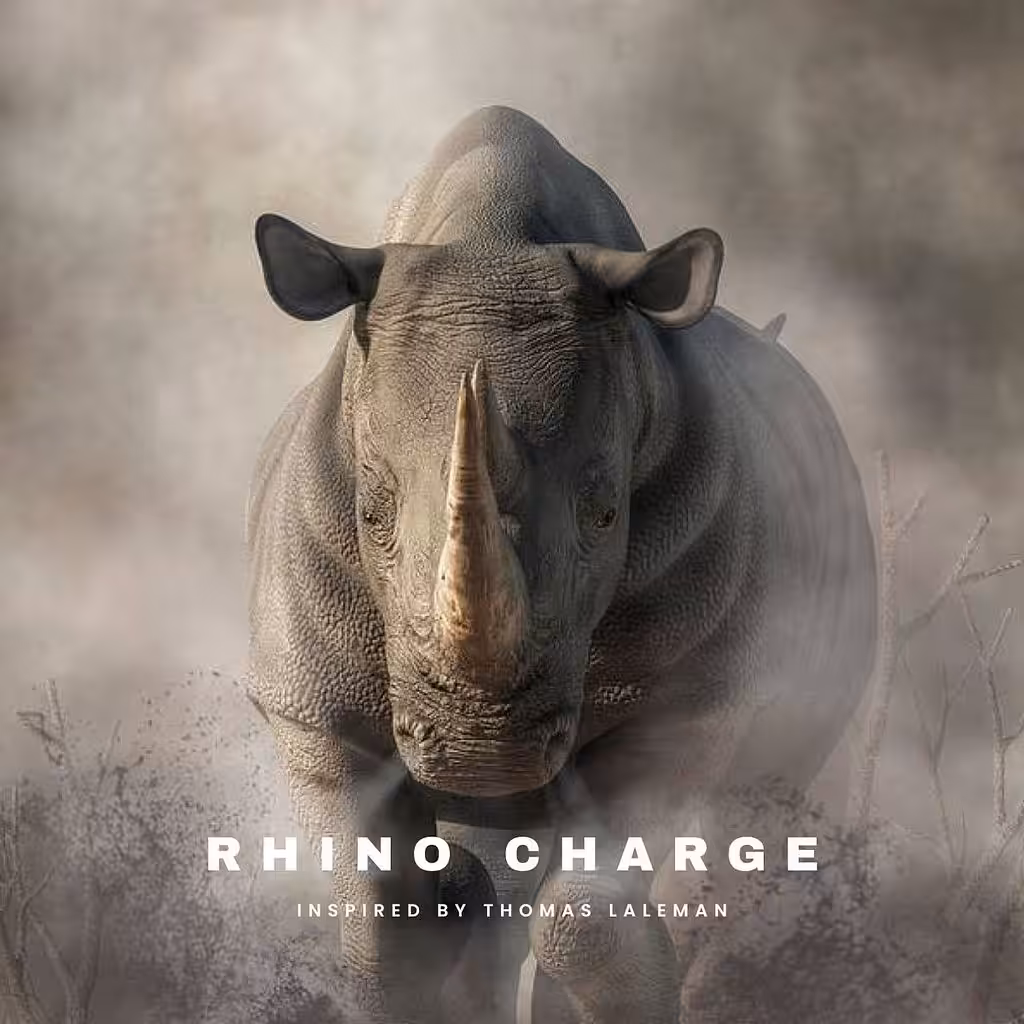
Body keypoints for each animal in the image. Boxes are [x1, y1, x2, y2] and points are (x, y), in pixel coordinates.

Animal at [247, 106, 876, 1023]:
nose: (479, 750)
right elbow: (386, 927)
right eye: (369, 512)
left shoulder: (692, 702)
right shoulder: (310, 706)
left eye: (608, 512)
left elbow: (590, 912)